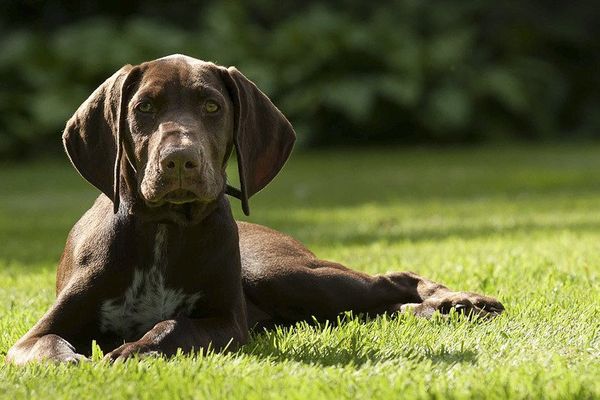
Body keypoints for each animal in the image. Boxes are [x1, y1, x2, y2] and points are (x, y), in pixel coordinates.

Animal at [5, 54, 502, 364]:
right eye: (144, 108)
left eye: (212, 106)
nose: (179, 160)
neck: (164, 229)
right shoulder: (34, 335)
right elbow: (47, 346)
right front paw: (71, 362)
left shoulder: (226, 323)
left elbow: (172, 326)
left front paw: (130, 350)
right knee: (377, 304)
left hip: (281, 274)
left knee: (391, 279)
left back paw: (461, 301)